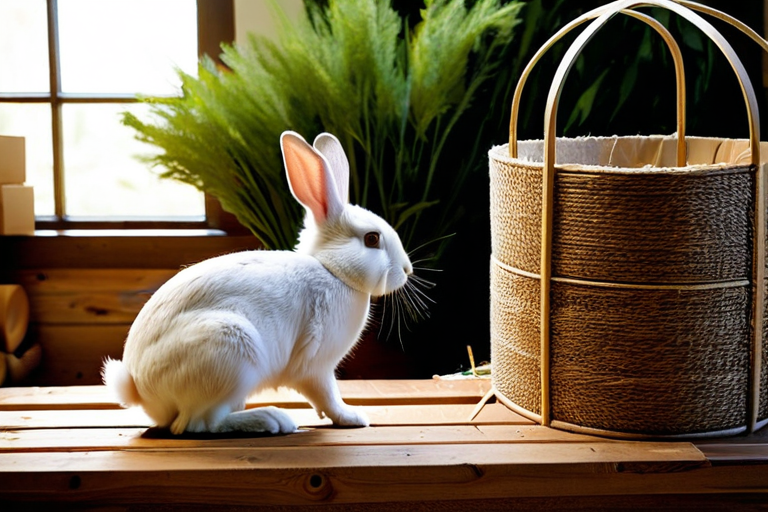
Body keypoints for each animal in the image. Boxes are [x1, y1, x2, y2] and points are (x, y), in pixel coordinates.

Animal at [102, 131, 413, 435]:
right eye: (372, 239)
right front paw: (352, 416)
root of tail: (140, 388)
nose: (407, 270)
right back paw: (271, 419)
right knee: (200, 423)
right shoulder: (316, 367)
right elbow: (327, 396)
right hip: (231, 353)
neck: (331, 270)